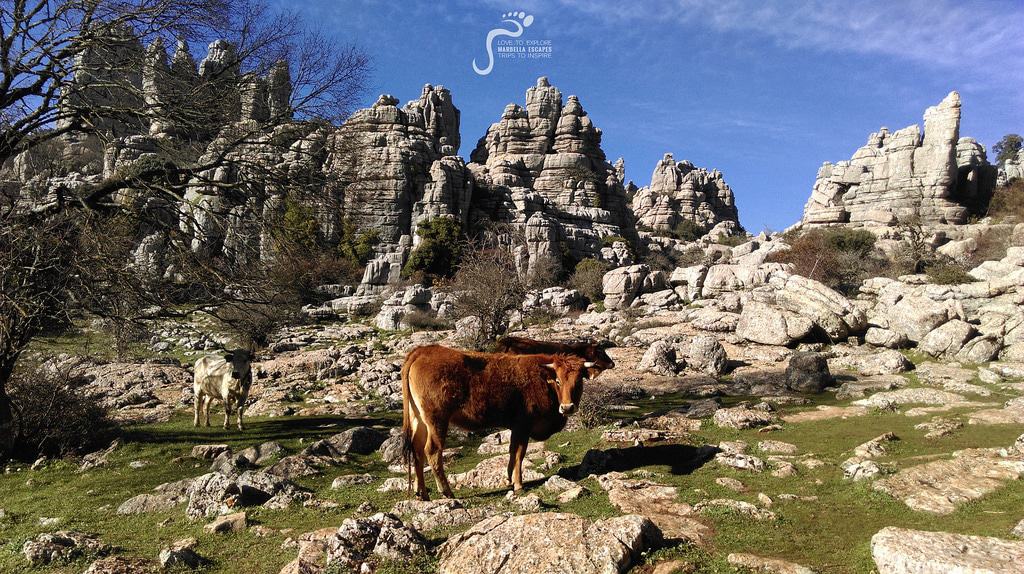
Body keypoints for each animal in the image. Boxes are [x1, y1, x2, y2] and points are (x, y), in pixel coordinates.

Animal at [401, 341, 593, 499]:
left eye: (579, 381)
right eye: (558, 381)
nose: (567, 407)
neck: (544, 380)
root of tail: (423, 351)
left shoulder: (516, 428)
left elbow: (512, 452)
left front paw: (510, 480)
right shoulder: (523, 425)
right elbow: (519, 454)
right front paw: (518, 484)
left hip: (419, 419)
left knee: (417, 451)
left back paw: (422, 493)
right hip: (437, 420)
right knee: (432, 451)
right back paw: (446, 492)